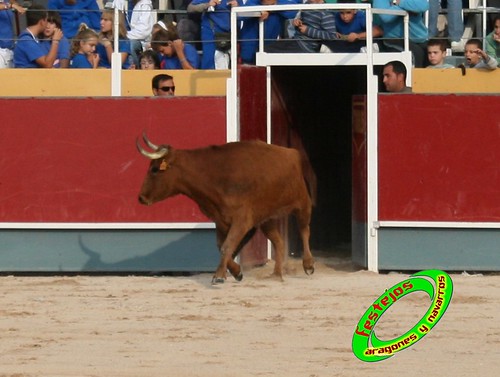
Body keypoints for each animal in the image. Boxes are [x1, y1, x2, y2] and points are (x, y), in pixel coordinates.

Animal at [137, 134, 314, 284]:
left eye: (154, 170)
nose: (141, 198)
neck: (214, 176)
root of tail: (291, 152)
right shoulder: (220, 220)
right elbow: (222, 246)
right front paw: (236, 272)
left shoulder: (241, 220)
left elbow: (227, 246)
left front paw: (219, 276)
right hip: (266, 219)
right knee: (279, 241)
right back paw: (276, 274)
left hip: (302, 203)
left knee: (304, 230)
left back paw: (308, 264)